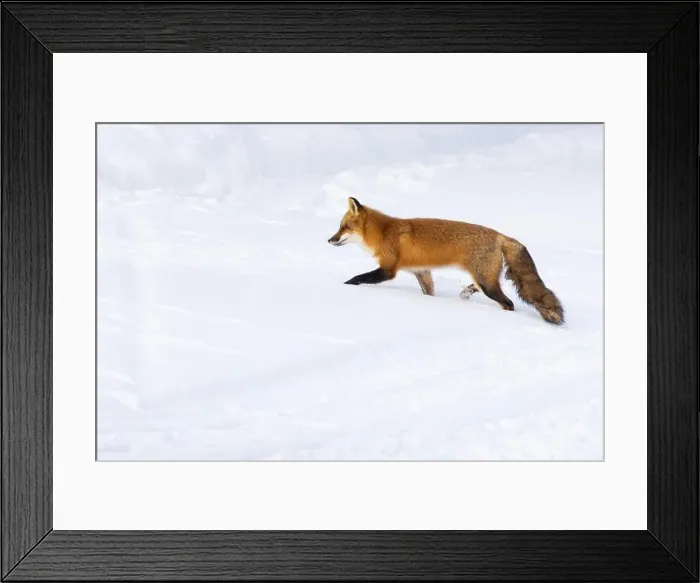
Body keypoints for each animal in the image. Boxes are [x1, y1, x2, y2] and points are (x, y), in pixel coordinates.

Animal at [327, 197, 564, 325]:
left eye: (343, 228)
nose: (330, 240)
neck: (384, 233)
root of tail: (500, 235)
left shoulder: (388, 269)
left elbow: (357, 278)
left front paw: (343, 288)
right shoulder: (422, 271)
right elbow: (428, 293)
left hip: (487, 284)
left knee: (509, 303)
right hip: (484, 279)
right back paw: (466, 292)